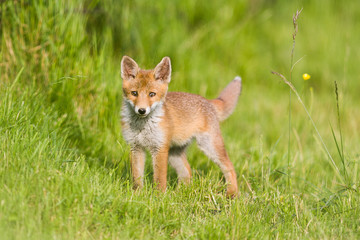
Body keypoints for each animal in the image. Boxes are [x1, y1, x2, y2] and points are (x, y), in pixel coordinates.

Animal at [121, 56, 242, 197]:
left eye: (152, 94)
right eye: (134, 93)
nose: (141, 110)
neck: (142, 127)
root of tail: (208, 101)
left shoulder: (159, 148)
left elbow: (159, 178)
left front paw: (159, 197)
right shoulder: (136, 147)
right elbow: (137, 177)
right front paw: (137, 194)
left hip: (209, 146)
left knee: (230, 167)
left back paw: (232, 193)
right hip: (174, 153)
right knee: (187, 171)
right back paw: (179, 193)